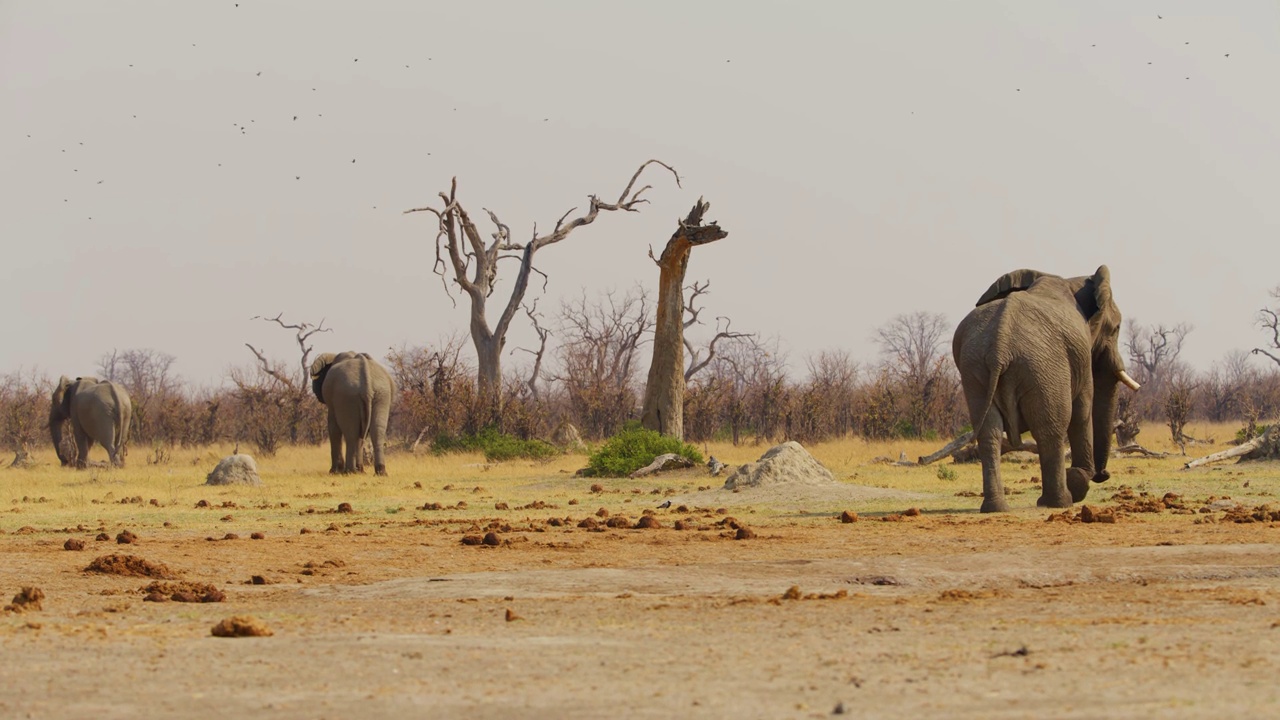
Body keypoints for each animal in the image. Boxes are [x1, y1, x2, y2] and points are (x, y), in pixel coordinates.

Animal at [952, 267, 1141, 509]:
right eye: (1116, 328)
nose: (1103, 475)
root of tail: (999, 345)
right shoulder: (1081, 356)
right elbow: (1081, 412)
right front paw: (1080, 480)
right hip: (1043, 365)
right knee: (1051, 429)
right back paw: (1060, 502)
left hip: (975, 368)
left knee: (989, 432)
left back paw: (995, 507)